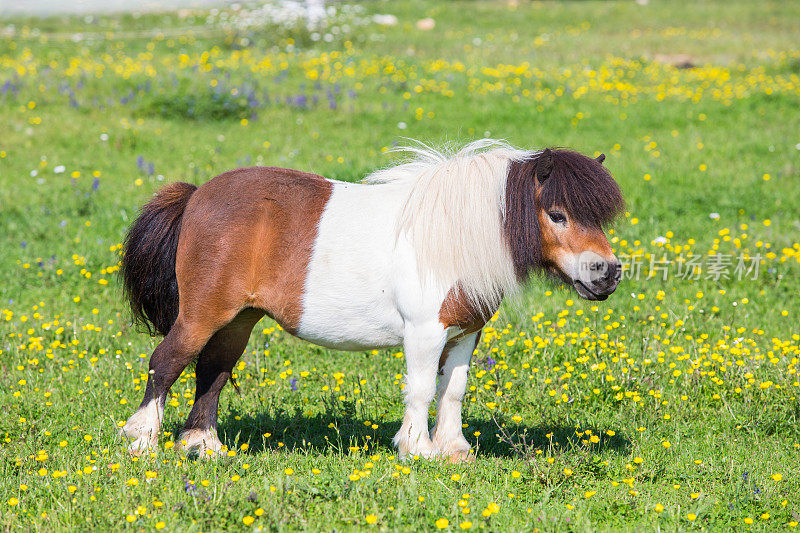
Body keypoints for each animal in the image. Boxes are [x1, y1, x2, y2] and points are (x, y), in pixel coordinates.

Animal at [120, 140, 624, 462]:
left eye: (600, 218)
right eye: (557, 215)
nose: (607, 272)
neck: (452, 236)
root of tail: (196, 196)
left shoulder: (465, 333)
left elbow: (453, 389)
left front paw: (455, 450)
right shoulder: (425, 332)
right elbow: (421, 389)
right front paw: (418, 450)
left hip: (239, 320)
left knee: (213, 371)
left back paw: (203, 447)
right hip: (203, 314)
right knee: (166, 361)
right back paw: (142, 442)